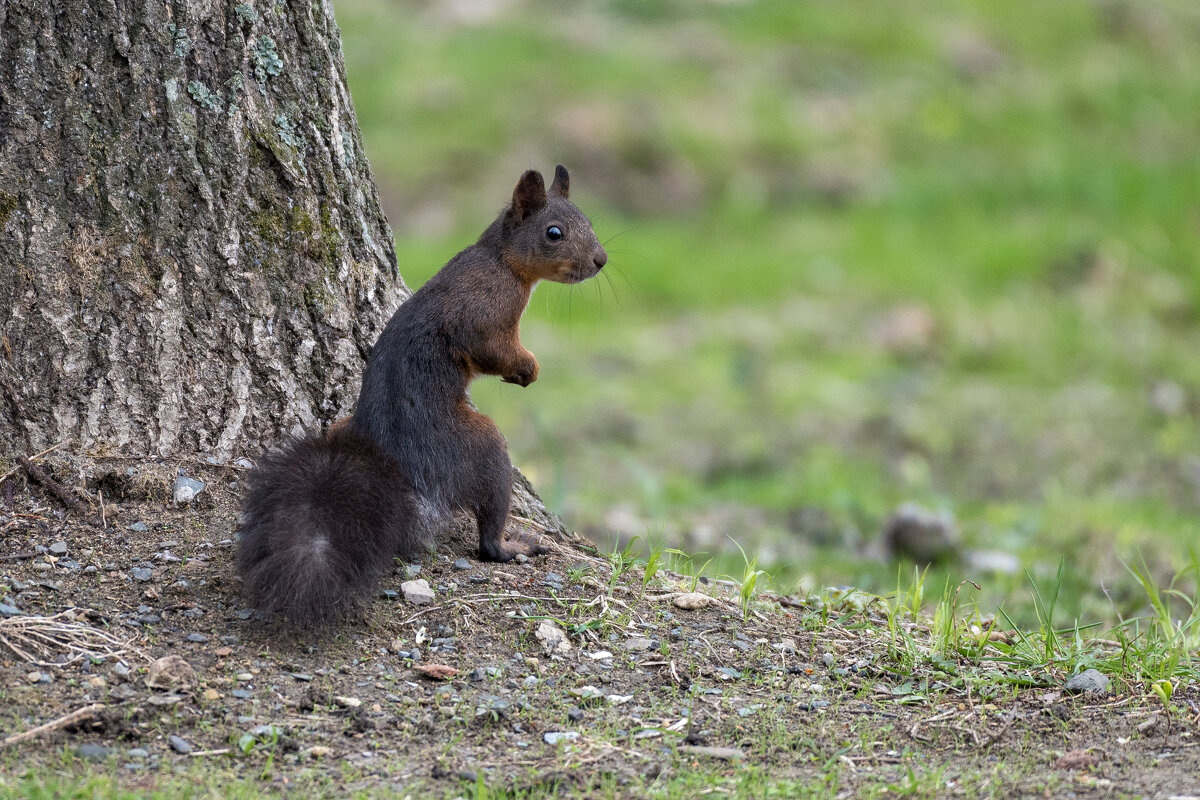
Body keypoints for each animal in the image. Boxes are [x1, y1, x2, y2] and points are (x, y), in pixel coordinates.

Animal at [235, 164, 609, 623]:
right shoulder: (485, 313)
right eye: (554, 233)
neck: (501, 262)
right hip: (481, 448)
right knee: (487, 534)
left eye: (588, 220)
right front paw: (528, 368)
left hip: (345, 426)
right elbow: (492, 350)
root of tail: (406, 470)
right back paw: (512, 546)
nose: (601, 260)